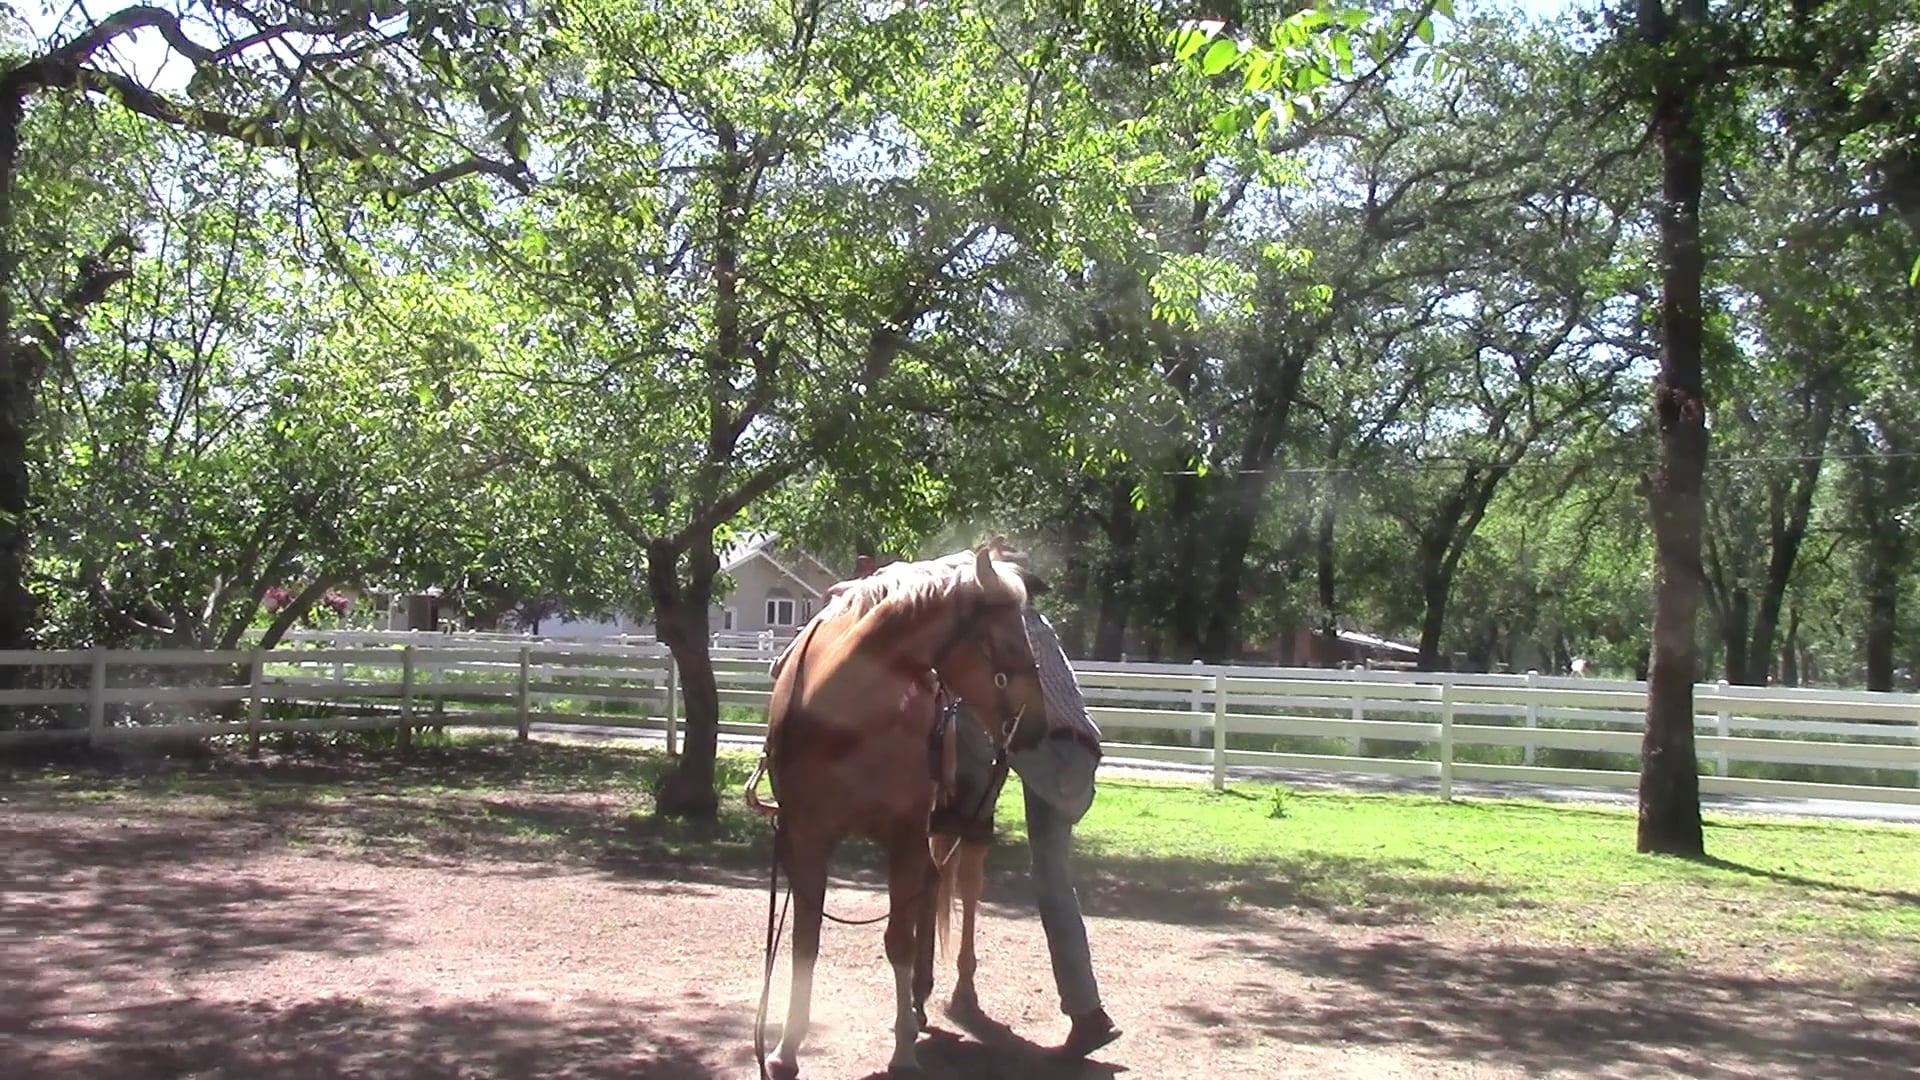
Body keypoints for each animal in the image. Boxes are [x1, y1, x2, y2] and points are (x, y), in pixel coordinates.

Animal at [746, 543, 1050, 1078]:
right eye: (1007, 639)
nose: (1035, 724)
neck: (848, 718)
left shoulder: (904, 834)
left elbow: (897, 941)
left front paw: (904, 1050)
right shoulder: (807, 835)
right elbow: (806, 940)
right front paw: (785, 1049)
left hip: (972, 821)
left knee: (965, 891)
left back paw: (957, 993)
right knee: (930, 888)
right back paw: (920, 995)